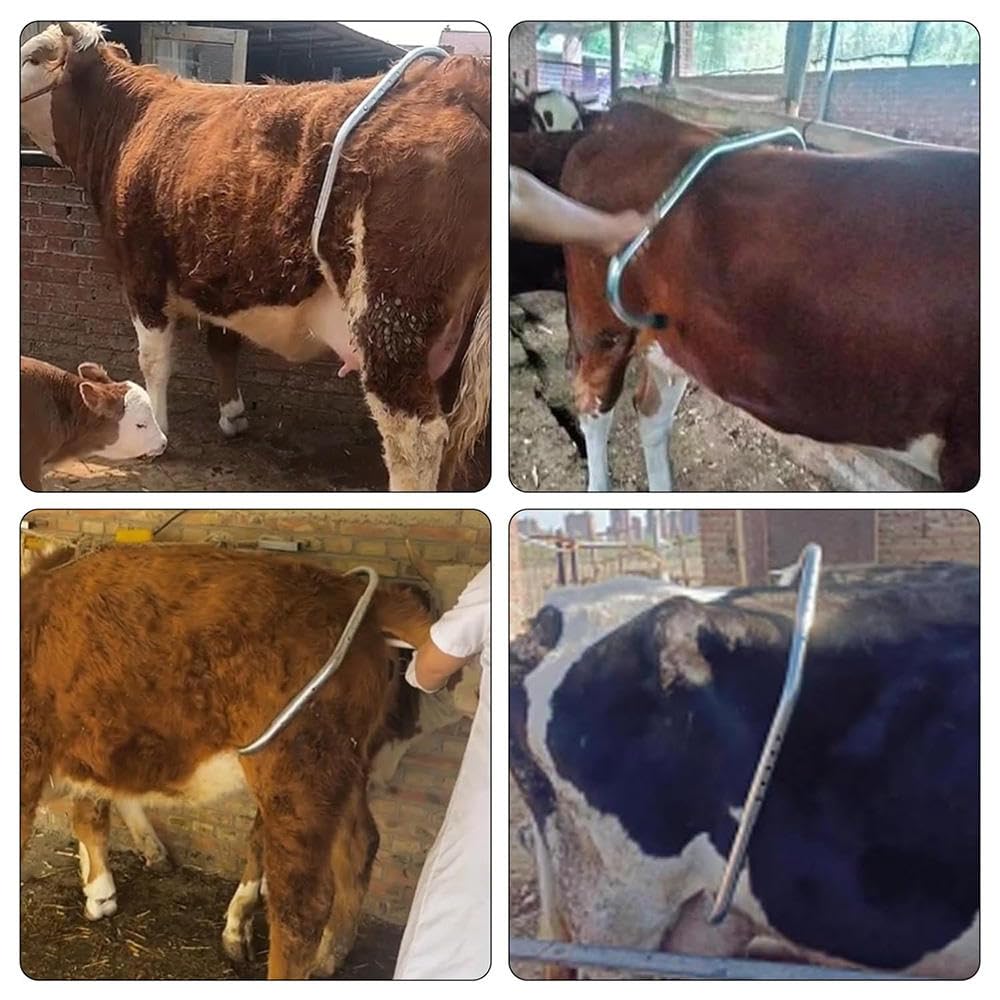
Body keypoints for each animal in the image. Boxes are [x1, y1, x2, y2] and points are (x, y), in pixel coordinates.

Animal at [21, 544, 436, 979]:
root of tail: (350, 593)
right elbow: (92, 808)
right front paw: (100, 890)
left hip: (295, 771)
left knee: (301, 906)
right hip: (342, 768)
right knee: (359, 844)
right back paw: (329, 955)